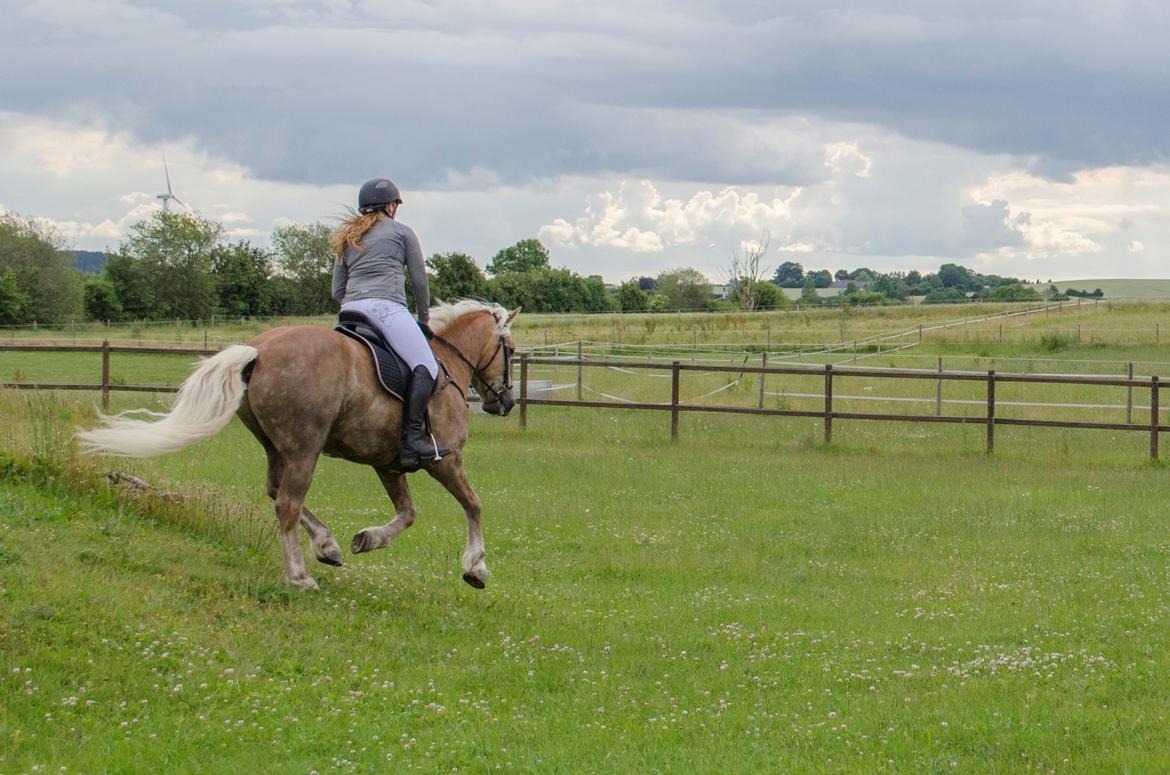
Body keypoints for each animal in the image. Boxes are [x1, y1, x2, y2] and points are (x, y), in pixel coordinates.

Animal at [80, 299, 519, 592]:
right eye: (512, 351)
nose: (506, 402)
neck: (446, 362)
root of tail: (258, 351)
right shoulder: (445, 459)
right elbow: (474, 505)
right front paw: (476, 568)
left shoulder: (387, 463)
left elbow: (407, 513)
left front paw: (367, 539)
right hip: (305, 448)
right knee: (288, 502)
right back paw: (300, 577)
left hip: (279, 448)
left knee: (277, 492)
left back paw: (327, 546)